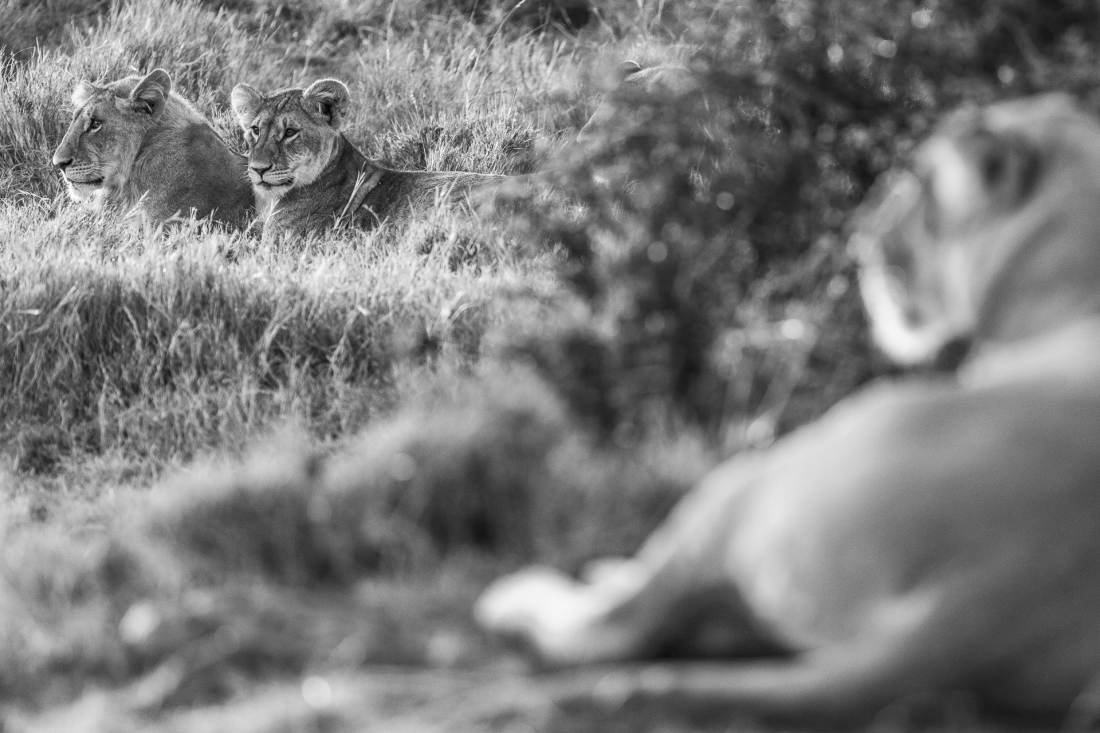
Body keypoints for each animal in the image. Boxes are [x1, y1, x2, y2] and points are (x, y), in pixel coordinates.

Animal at [475, 92, 1100, 725]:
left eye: (916, 184)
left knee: (620, 625)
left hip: (757, 479)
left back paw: (520, 601)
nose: (861, 237)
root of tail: (991, 588)